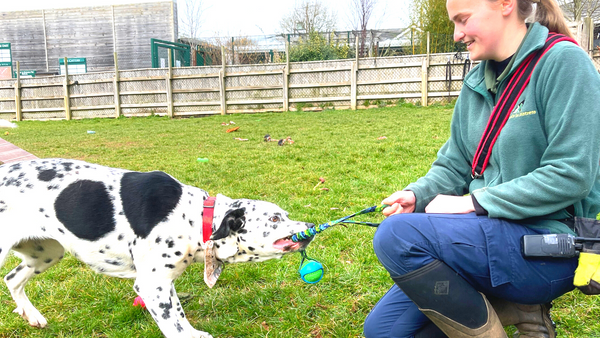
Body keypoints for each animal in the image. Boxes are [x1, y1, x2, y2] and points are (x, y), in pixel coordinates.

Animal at [0, 159, 314, 338]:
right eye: (275, 219)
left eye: (285, 214)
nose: (311, 225)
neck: (194, 216)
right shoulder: (152, 286)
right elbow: (173, 326)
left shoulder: (165, 282)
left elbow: (179, 316)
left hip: (46, 253)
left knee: (12, 279)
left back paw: (33, 316)